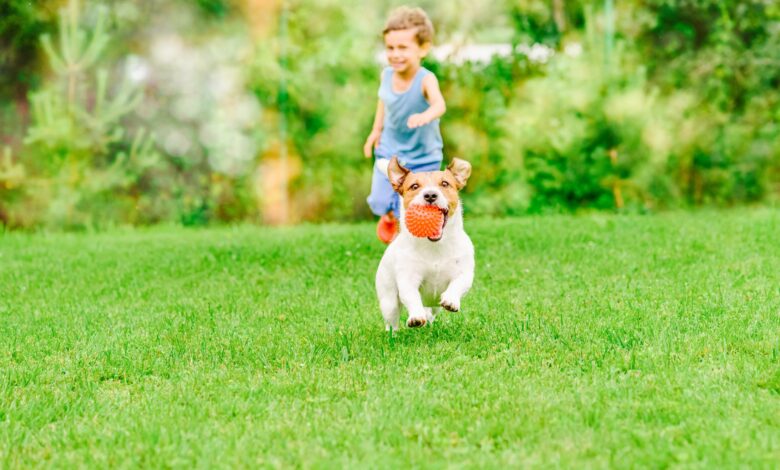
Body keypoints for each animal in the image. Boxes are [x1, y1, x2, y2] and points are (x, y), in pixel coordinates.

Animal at [374, 158, 472, 330]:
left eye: (445, 183)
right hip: (388, 299)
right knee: (392, 320)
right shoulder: (408, 279)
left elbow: (458, 284)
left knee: (431, 312)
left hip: (434, 306)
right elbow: (412, 297)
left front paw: (451, 300)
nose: (430, 195)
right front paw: (416, 317)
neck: (434, 246)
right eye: (414, 186)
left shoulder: (465, 272)